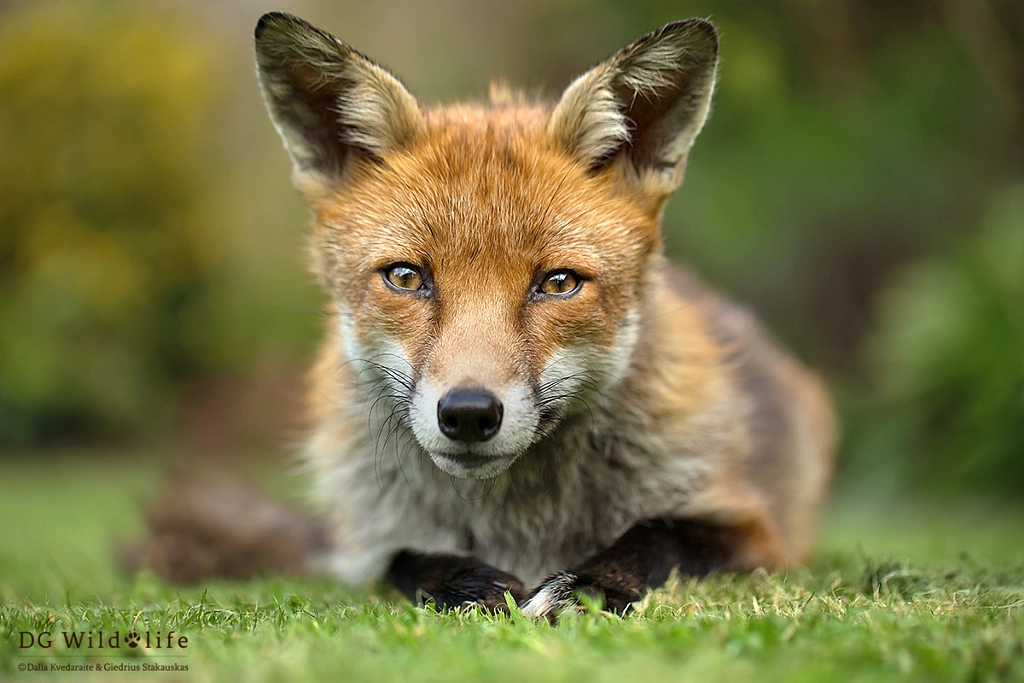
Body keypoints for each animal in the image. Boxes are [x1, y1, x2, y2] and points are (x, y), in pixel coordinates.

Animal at [130, 12, 831, 618]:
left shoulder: (756, 532)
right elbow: (402, 562)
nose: (468, 413)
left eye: (557, 283)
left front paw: (587, 588)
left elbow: (658, 538)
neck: (516, 525)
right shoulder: (364, 545)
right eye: (407, 278)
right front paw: (462, 583)